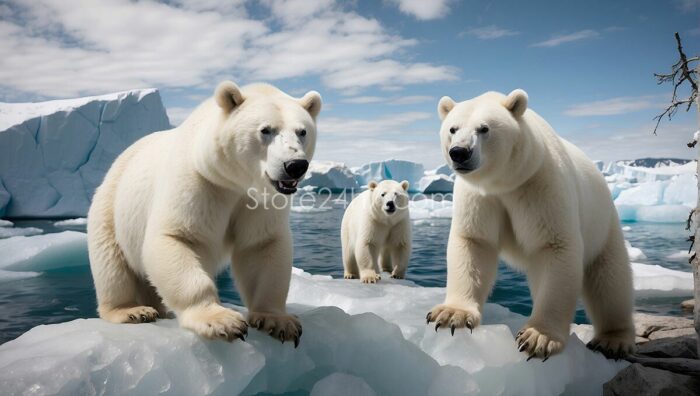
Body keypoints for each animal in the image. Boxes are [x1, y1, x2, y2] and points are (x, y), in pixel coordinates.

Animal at [86, 81, 322, 346]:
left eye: (302, 131)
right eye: (265, 130)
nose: (295, 165)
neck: (234, 181)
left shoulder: (260, 201)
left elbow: (262, 246)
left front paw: (280, 322)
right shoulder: (199, 182)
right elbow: (175, 237)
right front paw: (221, 321)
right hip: (110, 209)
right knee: (112, 266)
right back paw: (132, 311)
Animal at [424, 90, 636, 362]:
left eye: (484, 128)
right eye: (452, 128)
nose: (459, 152)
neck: (503, 182)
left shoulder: (538, 185)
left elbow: (555, 246)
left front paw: (539, 338)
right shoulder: (479, 196)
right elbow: (474, 242)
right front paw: (450, 315)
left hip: (602, 225)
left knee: (610, 281)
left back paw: (613, 340)